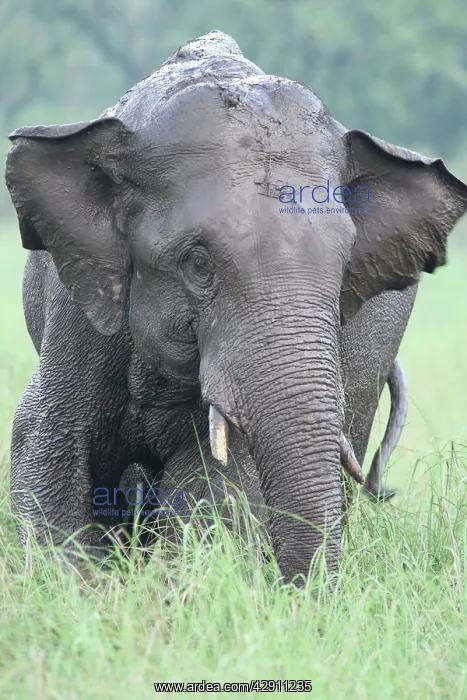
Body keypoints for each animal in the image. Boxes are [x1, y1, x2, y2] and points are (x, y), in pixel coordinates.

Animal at [5, 30, 467, 584]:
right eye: (199, 263)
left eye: (345, 268)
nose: (304, 597)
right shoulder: (79, 314)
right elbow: (46, 446)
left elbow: (213, 480)